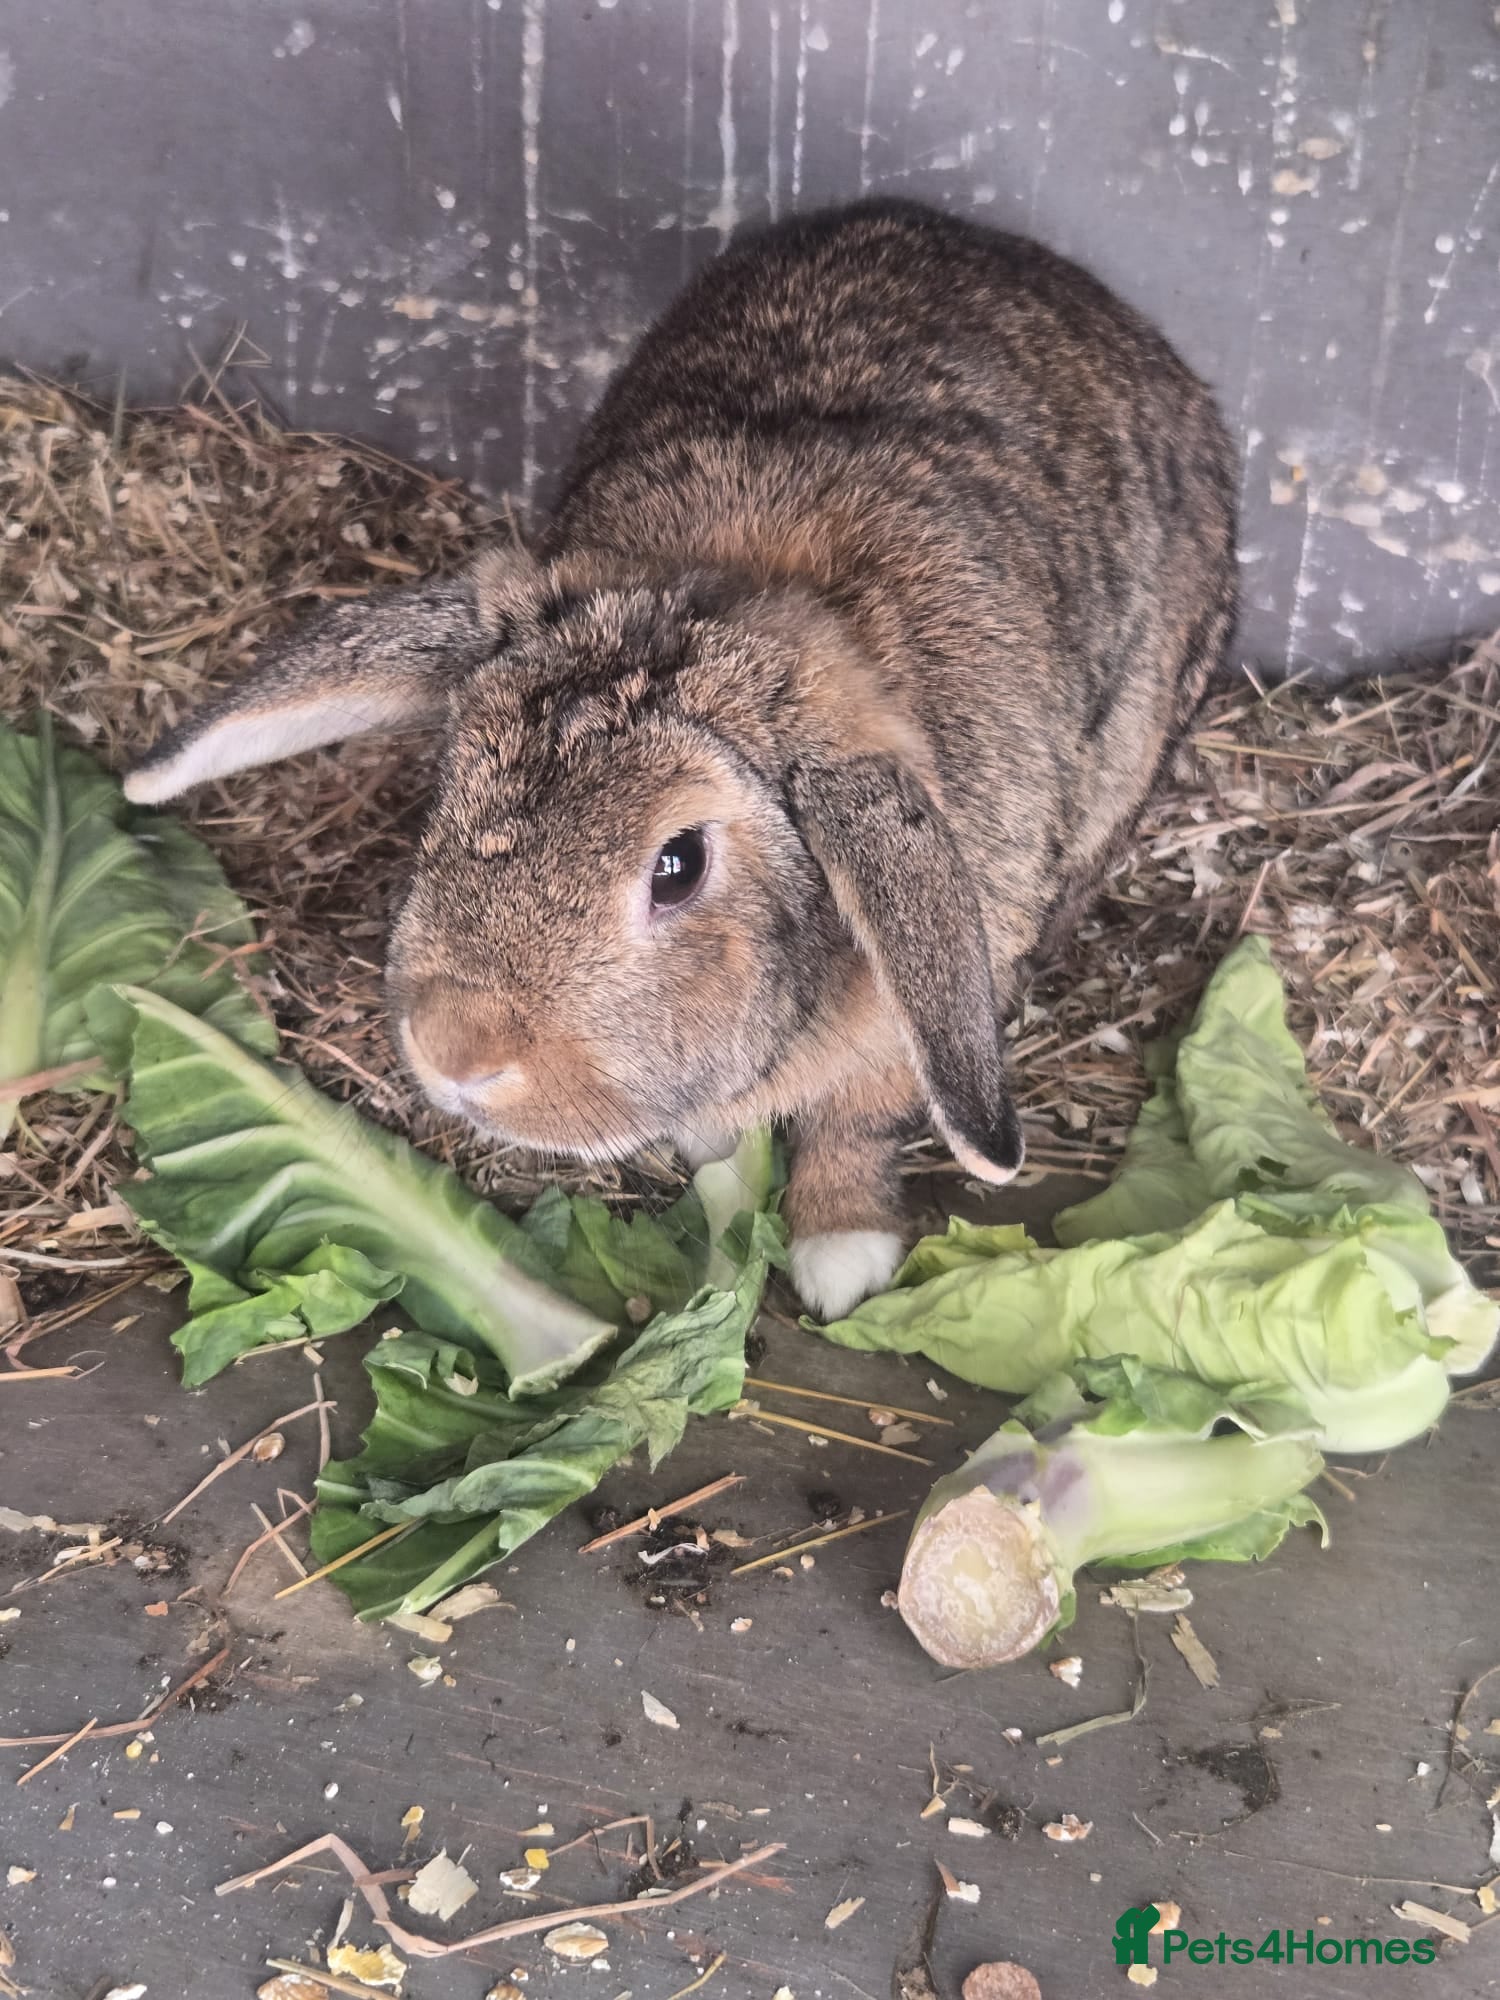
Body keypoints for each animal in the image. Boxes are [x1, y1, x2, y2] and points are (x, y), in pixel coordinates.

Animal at [125, 198, 1238, 1322]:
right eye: (451, 784)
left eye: (678, 865)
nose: (458, 1051)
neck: (729, 593)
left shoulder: (929, 988)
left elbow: (858, 1121)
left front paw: (841, 1258)